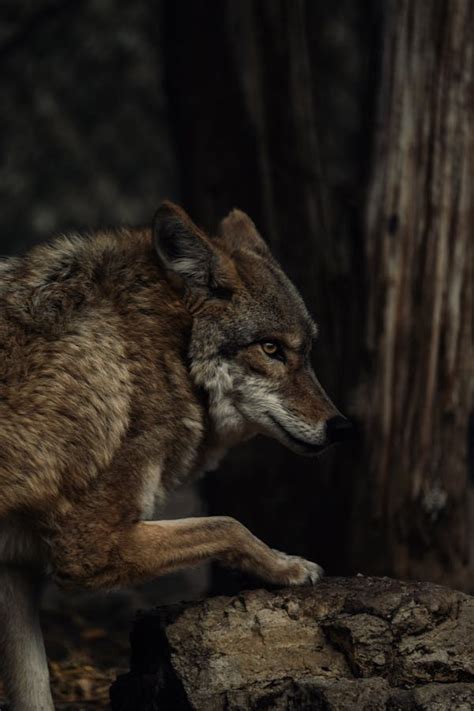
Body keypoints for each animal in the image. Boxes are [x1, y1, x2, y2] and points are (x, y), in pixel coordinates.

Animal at [0, 202, 351, 710]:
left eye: (306, 353)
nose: (341, 427)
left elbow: (35, 690)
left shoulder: (15, 565)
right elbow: (229, 525)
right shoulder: (88, 548)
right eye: (271, 348)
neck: (163, 351)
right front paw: (287, 567)